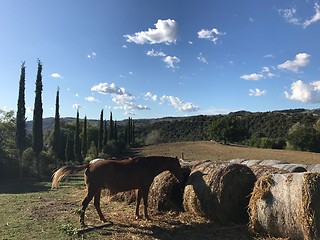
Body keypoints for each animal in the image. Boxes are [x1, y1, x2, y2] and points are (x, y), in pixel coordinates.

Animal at [52, 156, 182, 227]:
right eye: (179, 165)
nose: (181, 178)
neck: (147, 165)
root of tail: (90, 164)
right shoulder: (145, 187)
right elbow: (144, 202)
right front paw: (147, 217)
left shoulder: (139, 188)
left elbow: (138, 201)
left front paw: (137, 215)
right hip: (93, 189)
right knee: (85, 203)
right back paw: (82, 222)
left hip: (98, 189)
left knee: (96, 203)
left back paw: (103, 219)